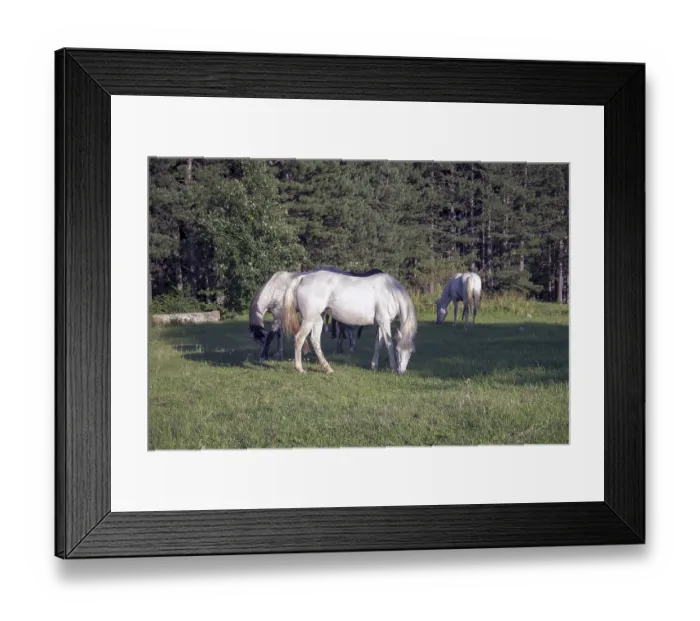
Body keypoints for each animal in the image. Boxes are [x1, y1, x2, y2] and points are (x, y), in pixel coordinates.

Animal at [282, 269, 417, 375]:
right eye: (398, 350)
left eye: (410, 352)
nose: (401, 371)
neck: (390, 291)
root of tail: (303, 278)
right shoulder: (384, 322)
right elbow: (389, 344)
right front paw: (393, 367)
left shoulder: (381, 324)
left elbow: (379, 344)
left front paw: (374, 366)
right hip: (309, 319)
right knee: (299, 338)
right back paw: (300, 369)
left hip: (318, 318)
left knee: (315, 341)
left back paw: (328, 368)